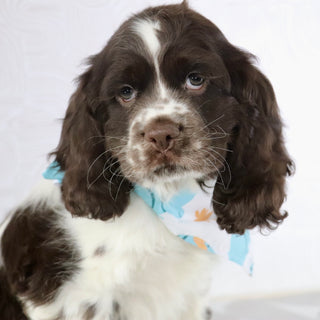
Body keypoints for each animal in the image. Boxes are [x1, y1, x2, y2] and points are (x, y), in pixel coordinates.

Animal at [0, 1, 294, 318]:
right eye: (126, 93)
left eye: (196, 80)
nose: (161, 134)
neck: (169, 199)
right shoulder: (81, 297)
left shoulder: (192, 294)